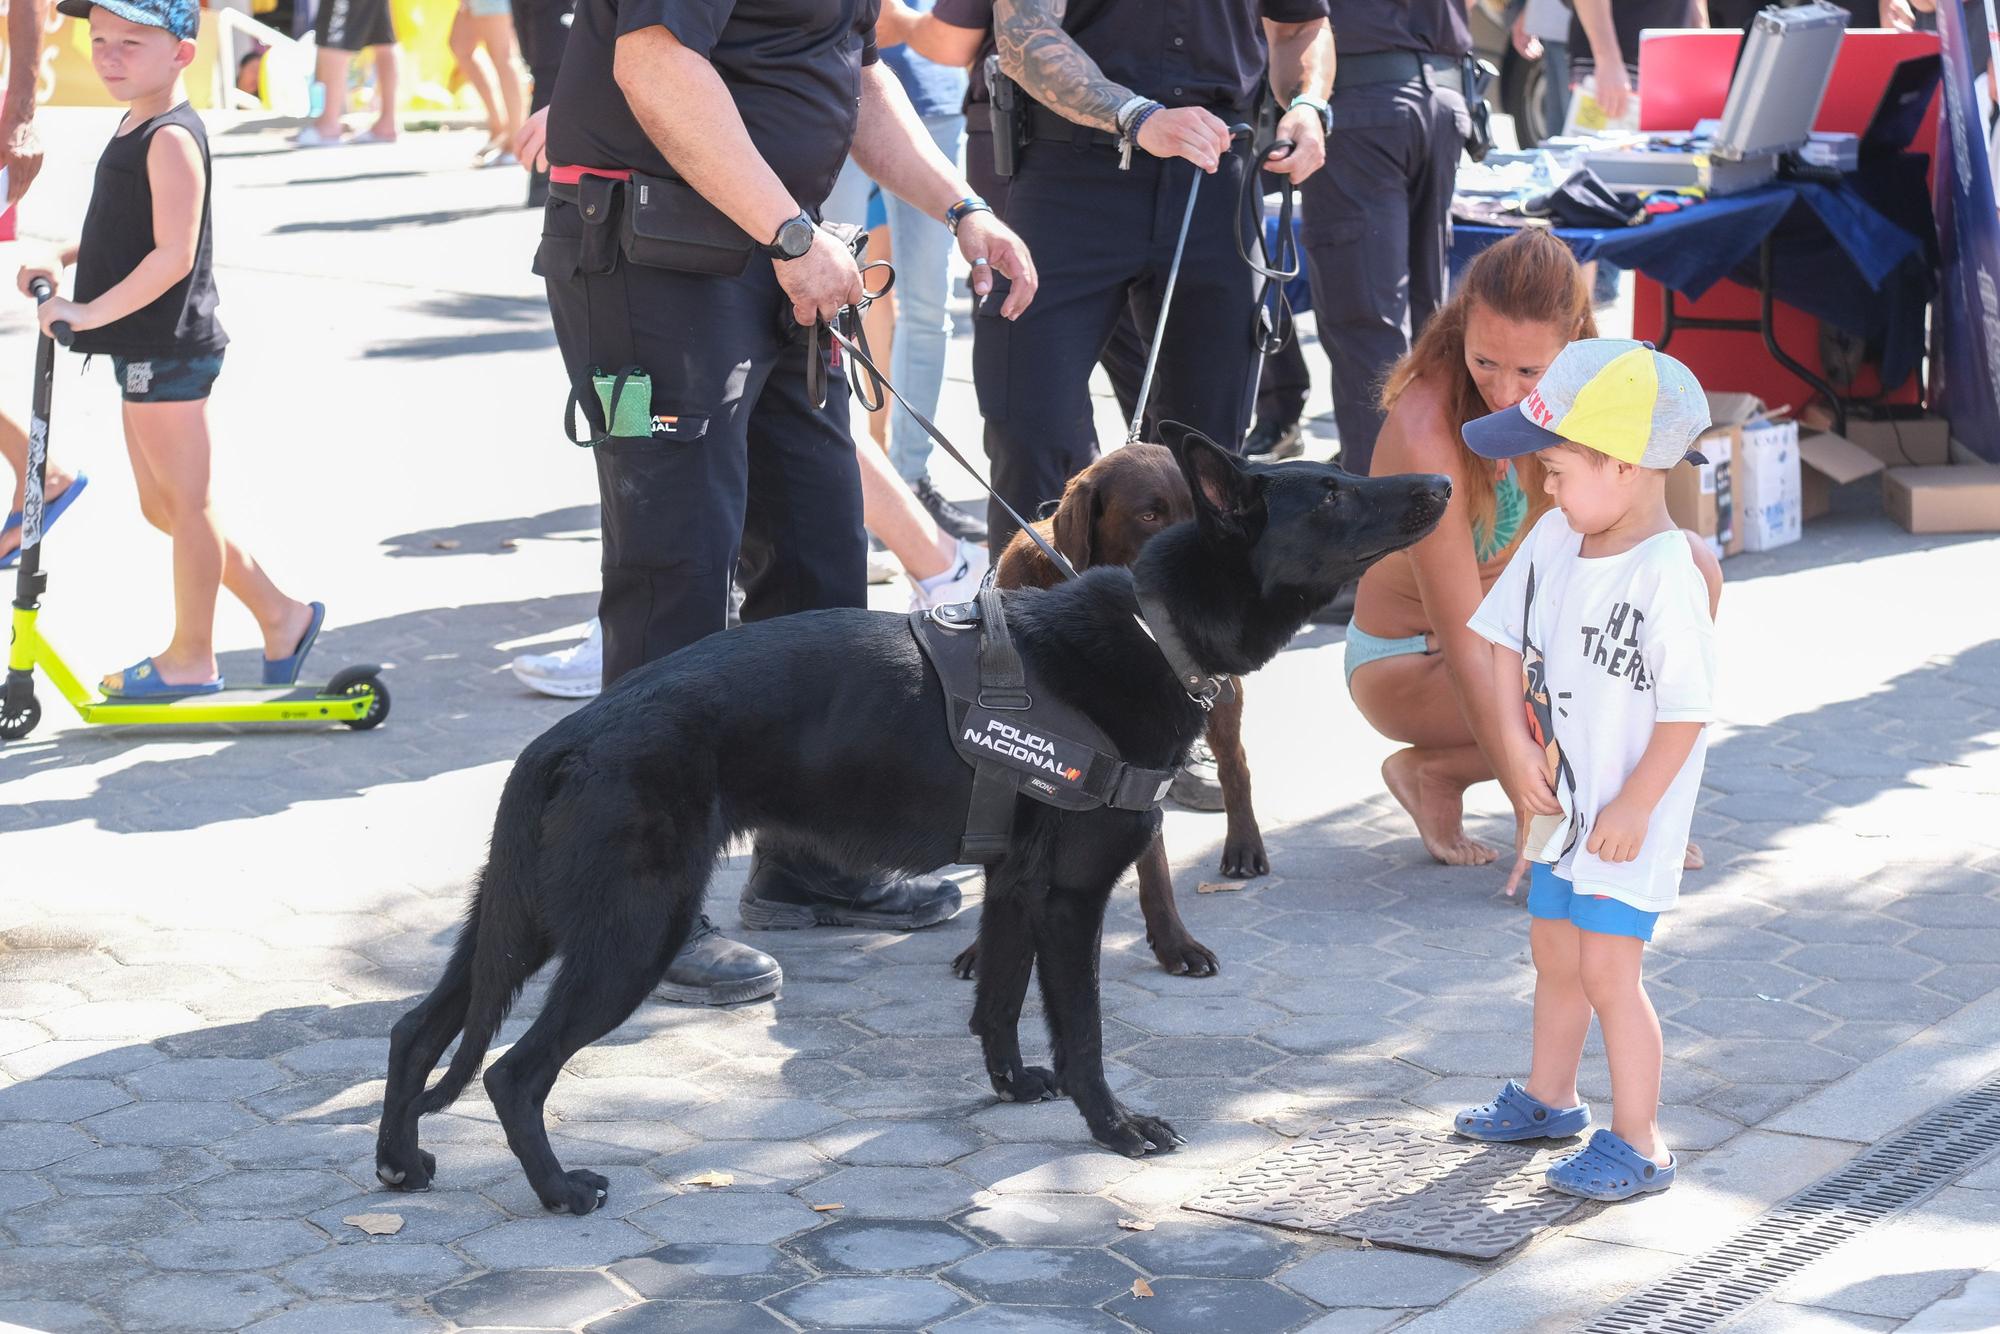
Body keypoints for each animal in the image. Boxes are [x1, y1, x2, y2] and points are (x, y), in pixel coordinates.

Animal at [952, 444, 1264, 976]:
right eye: (1148, 515)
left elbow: (1155, 866)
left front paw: (1174, 943)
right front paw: (983, 950)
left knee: (1235, 767)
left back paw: (1244, 846)